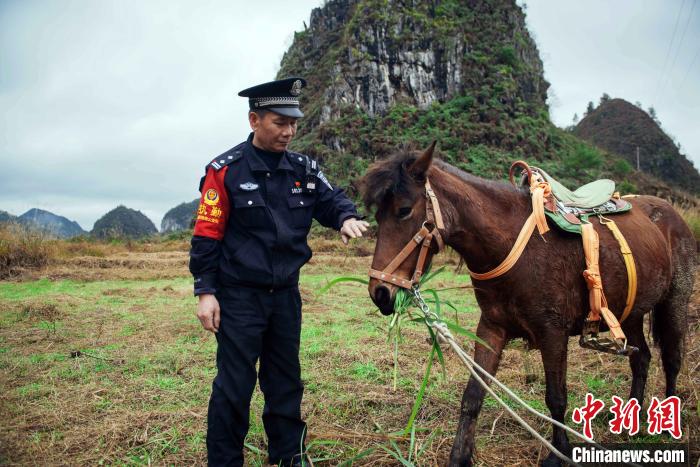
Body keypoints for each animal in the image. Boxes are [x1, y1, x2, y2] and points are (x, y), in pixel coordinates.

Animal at [360, 144, 696, 466]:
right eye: (377, 216)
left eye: (404, 210)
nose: (380, 293)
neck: (511, 246)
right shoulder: (492, 328)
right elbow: (473, 395)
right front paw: (459, 455)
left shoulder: (553, 333)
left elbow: (556, 397)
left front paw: (558, 454)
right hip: (630, 312)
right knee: (641, 359)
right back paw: (633, 420)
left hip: (675, 301)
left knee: (671, 360)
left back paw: (670, 425)